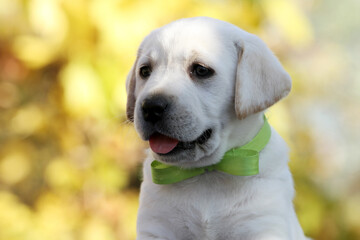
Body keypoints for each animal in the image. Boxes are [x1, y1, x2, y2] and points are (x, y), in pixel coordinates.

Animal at [125, 16, 308, 240]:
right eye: (145, 71)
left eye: (201, 70)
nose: (150, 107)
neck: (207, 173)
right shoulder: (155, 228)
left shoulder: (264, 224)